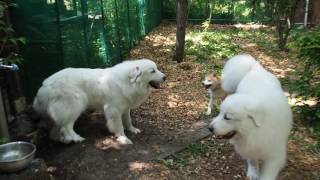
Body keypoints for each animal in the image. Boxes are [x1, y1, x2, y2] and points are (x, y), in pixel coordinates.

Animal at [33, 59, 166, 145]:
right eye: (152, 71)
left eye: (156, 68)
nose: (165, 77)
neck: (128, 82)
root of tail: (45, 86)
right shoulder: (113, 110)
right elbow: (119, 126)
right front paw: (123, 139)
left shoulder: (125, 107)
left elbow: (128, 120)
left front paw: (132, 129)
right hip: (74, 106)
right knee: (66, 127)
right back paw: (76, 138)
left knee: (58, 127)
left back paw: (62, 139)